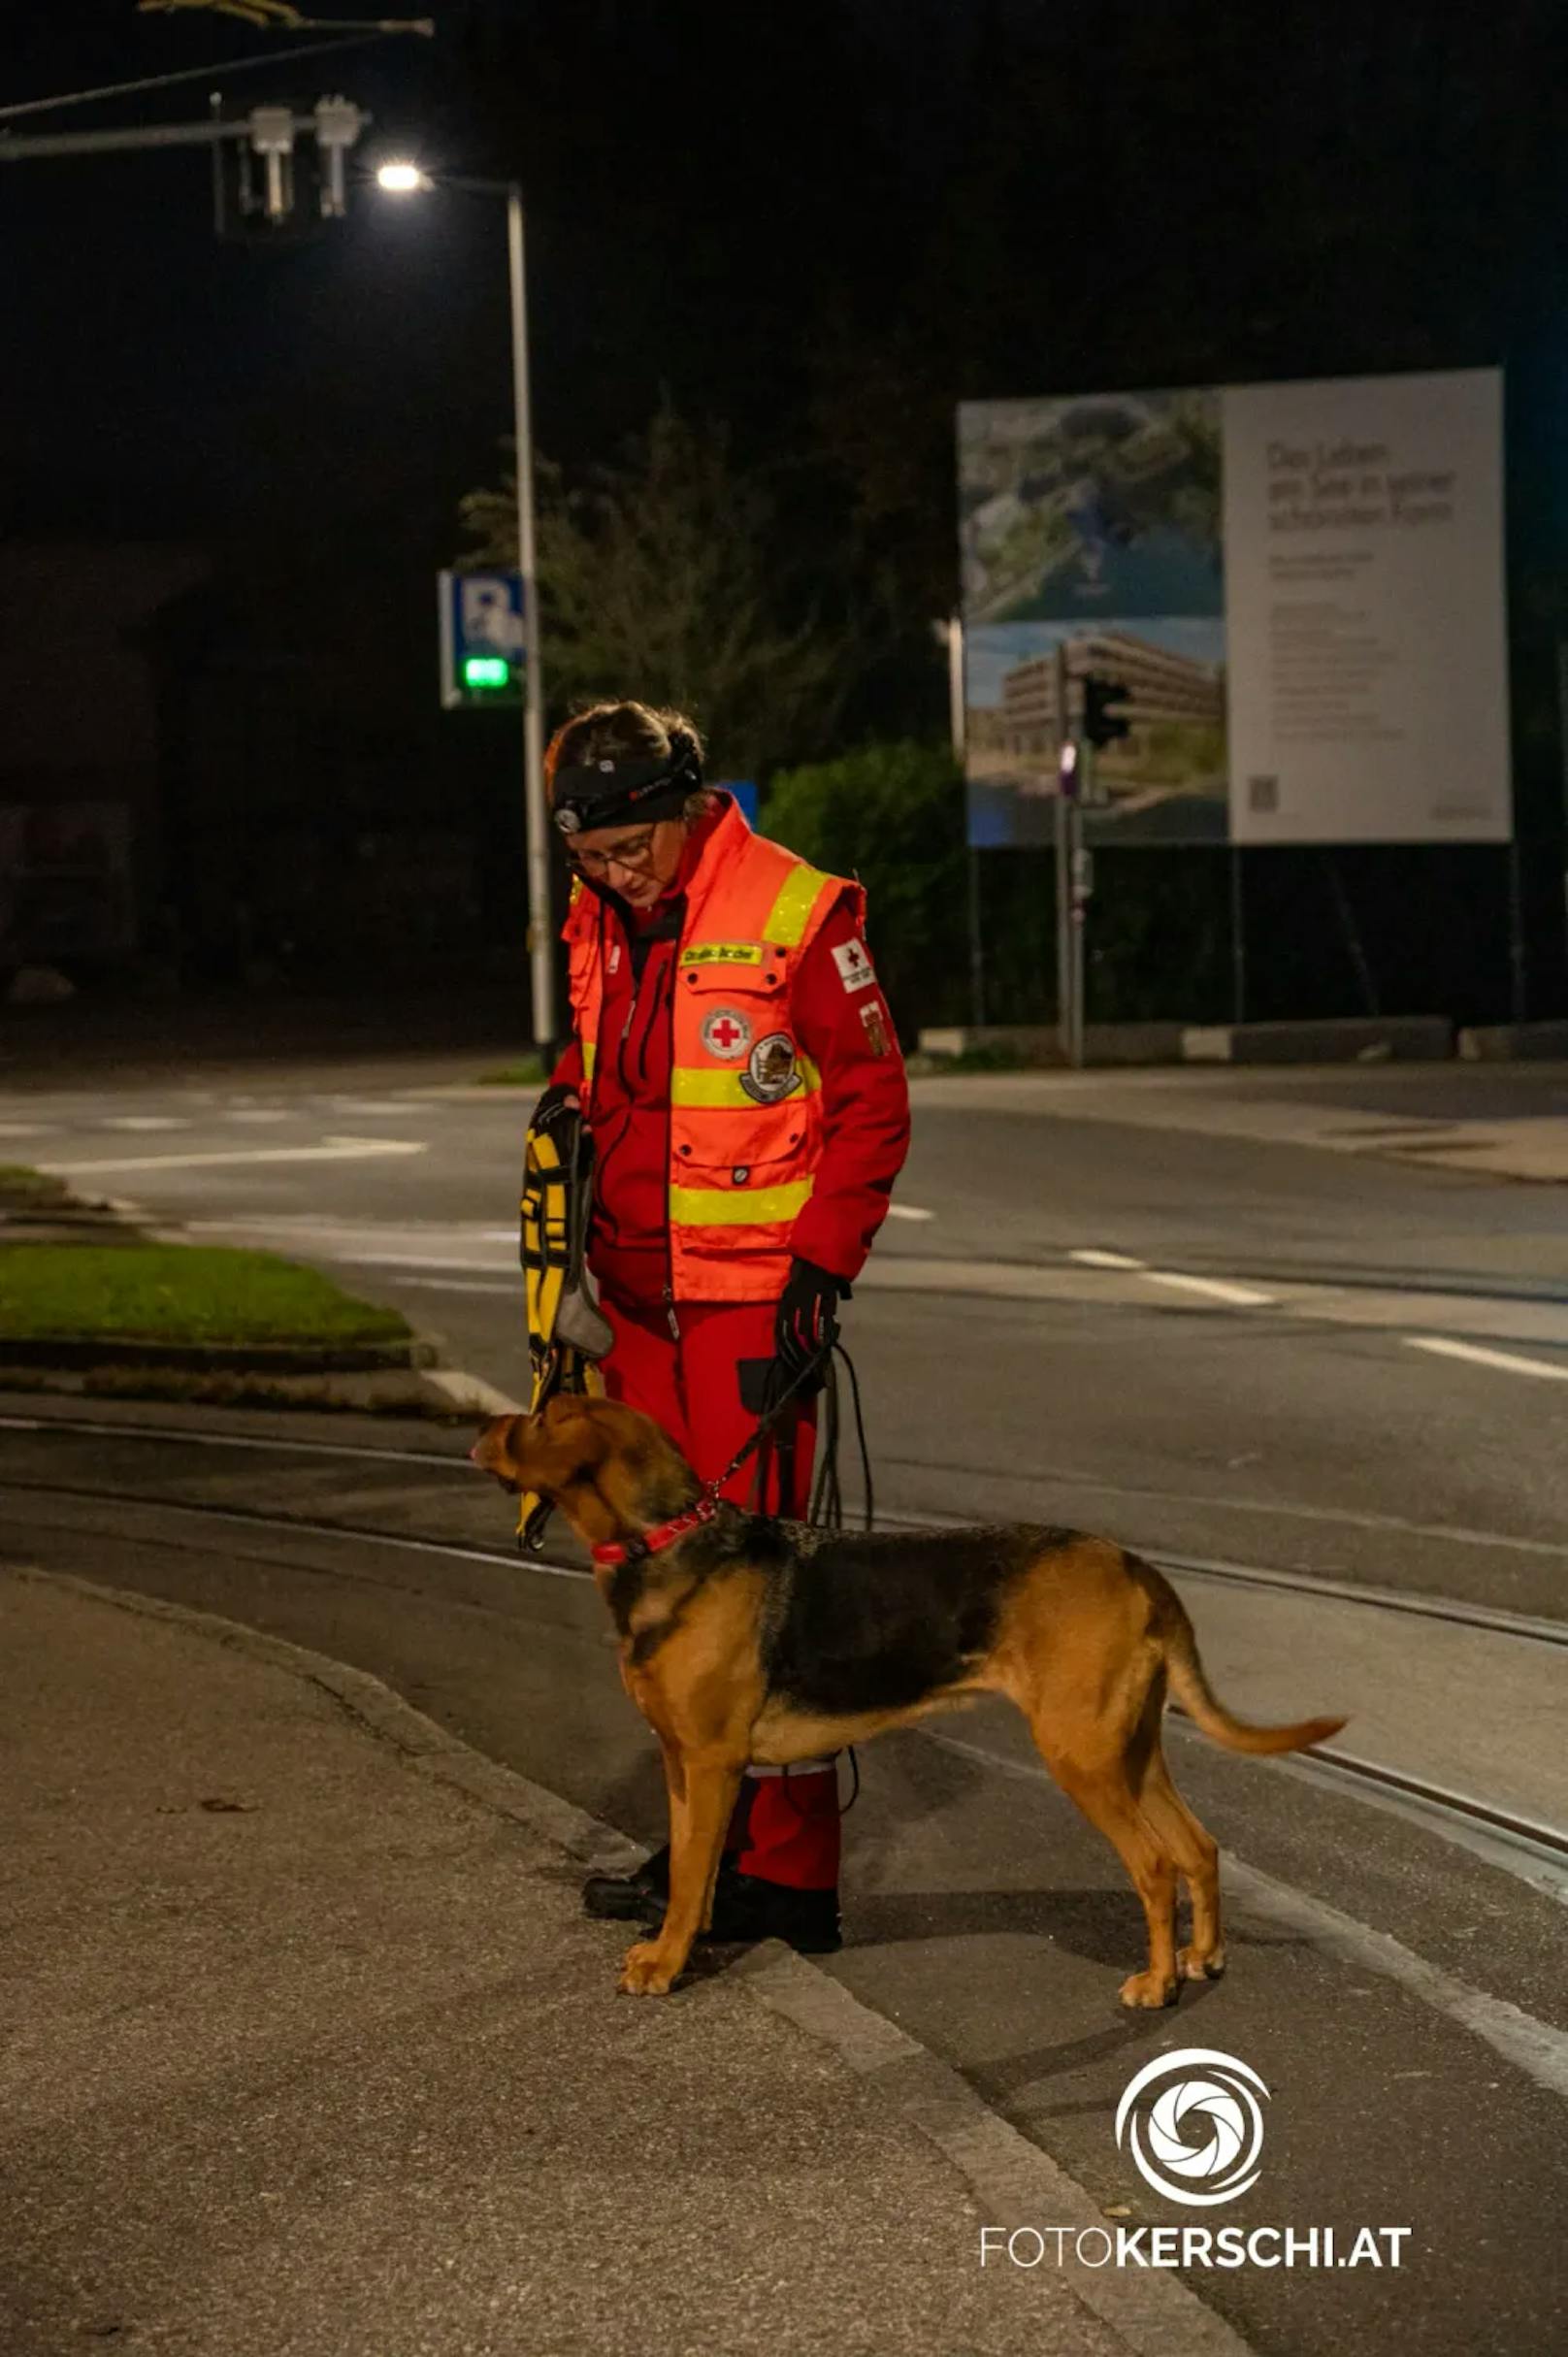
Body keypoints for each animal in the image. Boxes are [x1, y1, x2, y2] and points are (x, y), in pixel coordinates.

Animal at [472, 1394, 1339, 2008]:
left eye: (544, 1416)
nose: (480, 1427)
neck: (670, 1542)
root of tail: (1136, 1566)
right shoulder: (681, 1763)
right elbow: (690, 1867)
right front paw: (669, 1949)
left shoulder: (714, 1764)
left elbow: (690, 1881)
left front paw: (667, 1965)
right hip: (1130, 1750)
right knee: (1198, 1847)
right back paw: (1203, 1958)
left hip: (1083, 1755)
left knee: (1156, 1864)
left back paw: (1156, 1984)